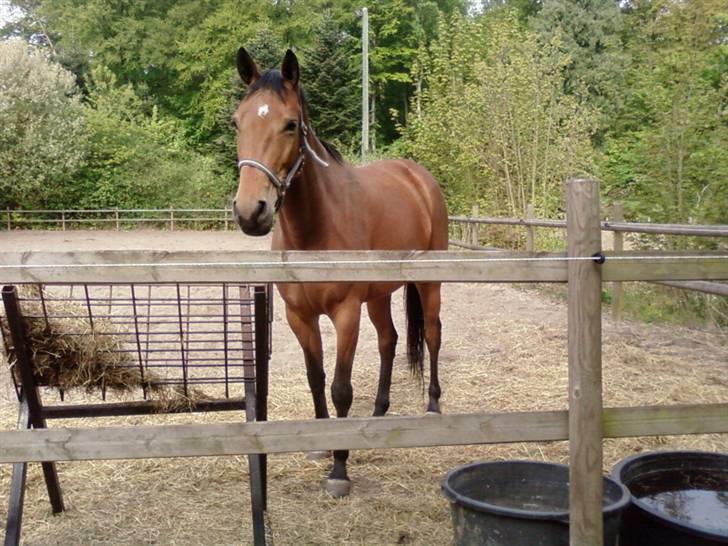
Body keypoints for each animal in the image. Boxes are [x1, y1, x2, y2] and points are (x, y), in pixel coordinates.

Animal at [233, 49, 450, 496]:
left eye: (290, 124)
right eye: (237, 122)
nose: (250, 212)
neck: (315, 229)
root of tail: (419, 177)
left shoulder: (346, 313)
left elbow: (340, 387)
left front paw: (339, 468)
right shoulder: (299, 317)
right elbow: (316, 379)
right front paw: (322, 444)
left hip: (429, 282)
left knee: (433, 334)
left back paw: (433, 406)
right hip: (380, 294)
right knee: (389, 341)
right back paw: (378, 414)